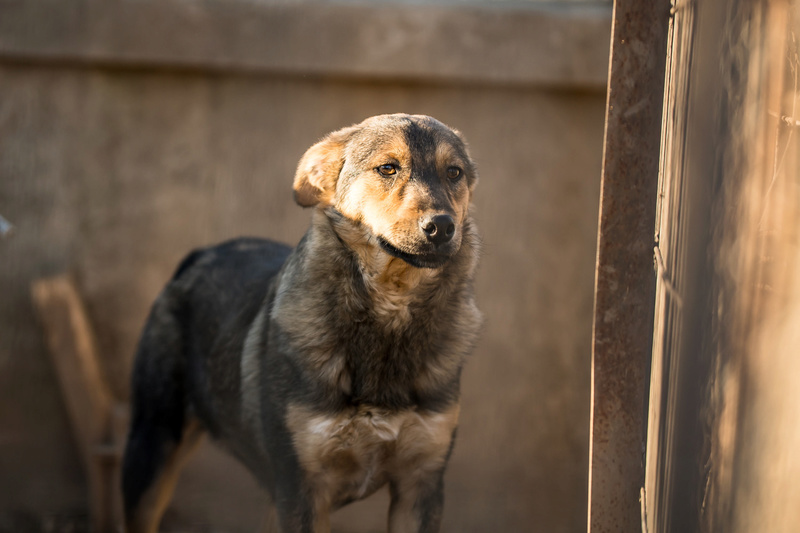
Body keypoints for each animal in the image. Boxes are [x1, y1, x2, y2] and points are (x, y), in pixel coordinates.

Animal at [119, 114, 482, 532]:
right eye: (388, 168)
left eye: (454, 173)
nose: (441, 227)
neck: (390, 313)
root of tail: (203, 252)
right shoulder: (302, 487)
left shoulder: (420, 483)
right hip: (152, 446)